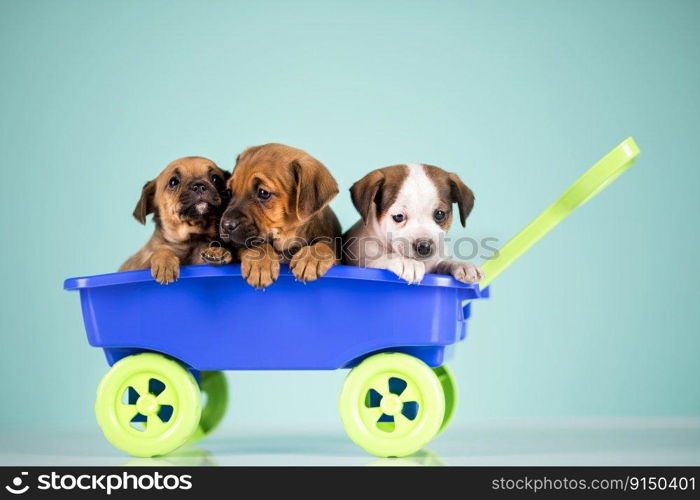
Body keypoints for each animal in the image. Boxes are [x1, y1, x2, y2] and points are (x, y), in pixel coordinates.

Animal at [119, 156, 231, 284]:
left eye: (215, 179)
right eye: (173, 182)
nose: (199, 185)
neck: (193, 238)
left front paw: (218, 251)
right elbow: (162, 250)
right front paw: (165, 263)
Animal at [202, 143, 342, 288]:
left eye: (263, 193)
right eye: (229, 192)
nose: (225, 225)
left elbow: (325, 245)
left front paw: (311, 259)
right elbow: (257, 245)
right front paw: (260, 264)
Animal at [342, 164, 484, 286]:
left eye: (439, 214)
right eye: (399, 216)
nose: (424, 247)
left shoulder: (434, 264)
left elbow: (443, 263)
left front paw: (462, 265)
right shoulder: (364, 262)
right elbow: (382, 258)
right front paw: (407, 262)